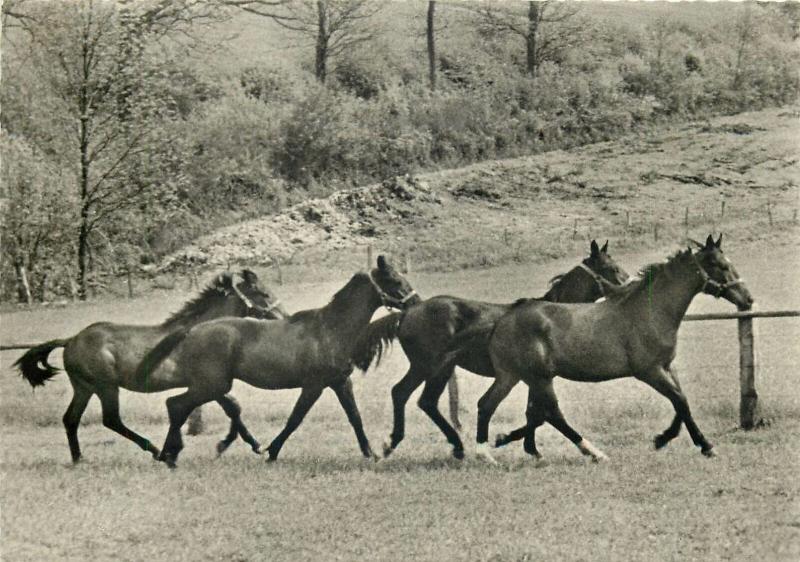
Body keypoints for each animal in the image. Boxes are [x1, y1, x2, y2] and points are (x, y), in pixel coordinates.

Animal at [14, 270, 286, 462]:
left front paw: (247, 445)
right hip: (105, 387)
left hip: (84, 388)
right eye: (264, 294)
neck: (201, 331)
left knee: (71, 419)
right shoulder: (206, 382)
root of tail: (71, 340)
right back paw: (155, 450)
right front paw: (240, 445)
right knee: (111, 420)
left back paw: (79, 458)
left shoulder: (208, 384)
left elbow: (233, 408)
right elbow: (232, 407)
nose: (284, 317)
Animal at [133, 256, 418, 466]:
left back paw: (169, 454)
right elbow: (295, 419)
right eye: (395, 279)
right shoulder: (314, 386)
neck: (331, 329)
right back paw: (169, 454)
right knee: (176, 404)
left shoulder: (340, 382)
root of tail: (193, 329)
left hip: (212, 385)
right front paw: (271, 452)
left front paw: (372, 454)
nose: (415, 301)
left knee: (179, 406)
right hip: (212, 385)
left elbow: (355, 417)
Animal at [356, 238, 632, 458]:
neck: (553, 312)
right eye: (612, 268)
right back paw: (401, 443)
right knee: (406, 394)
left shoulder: (532, 376)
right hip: (429, 367)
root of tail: (408, 312)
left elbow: (533, 412)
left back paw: (449, 446)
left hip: (438, 369)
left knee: (421, 400)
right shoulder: (535, 376)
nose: (630, 286)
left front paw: (530, 449)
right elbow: (540, 413)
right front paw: (516, 444)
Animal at [456, 234, 752, 462]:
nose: (747, 298)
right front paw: (704, 445)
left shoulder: (668, 367)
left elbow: (683, 402)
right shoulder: (649, 371)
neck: (651, 312)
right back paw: (591, 451)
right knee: (551, 413)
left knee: (491, 405)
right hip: (538, 378)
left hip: (515, 376)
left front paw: (664, 439)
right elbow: (679, 401)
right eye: (720, 265)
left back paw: (490, 450)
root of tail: (504, 319)